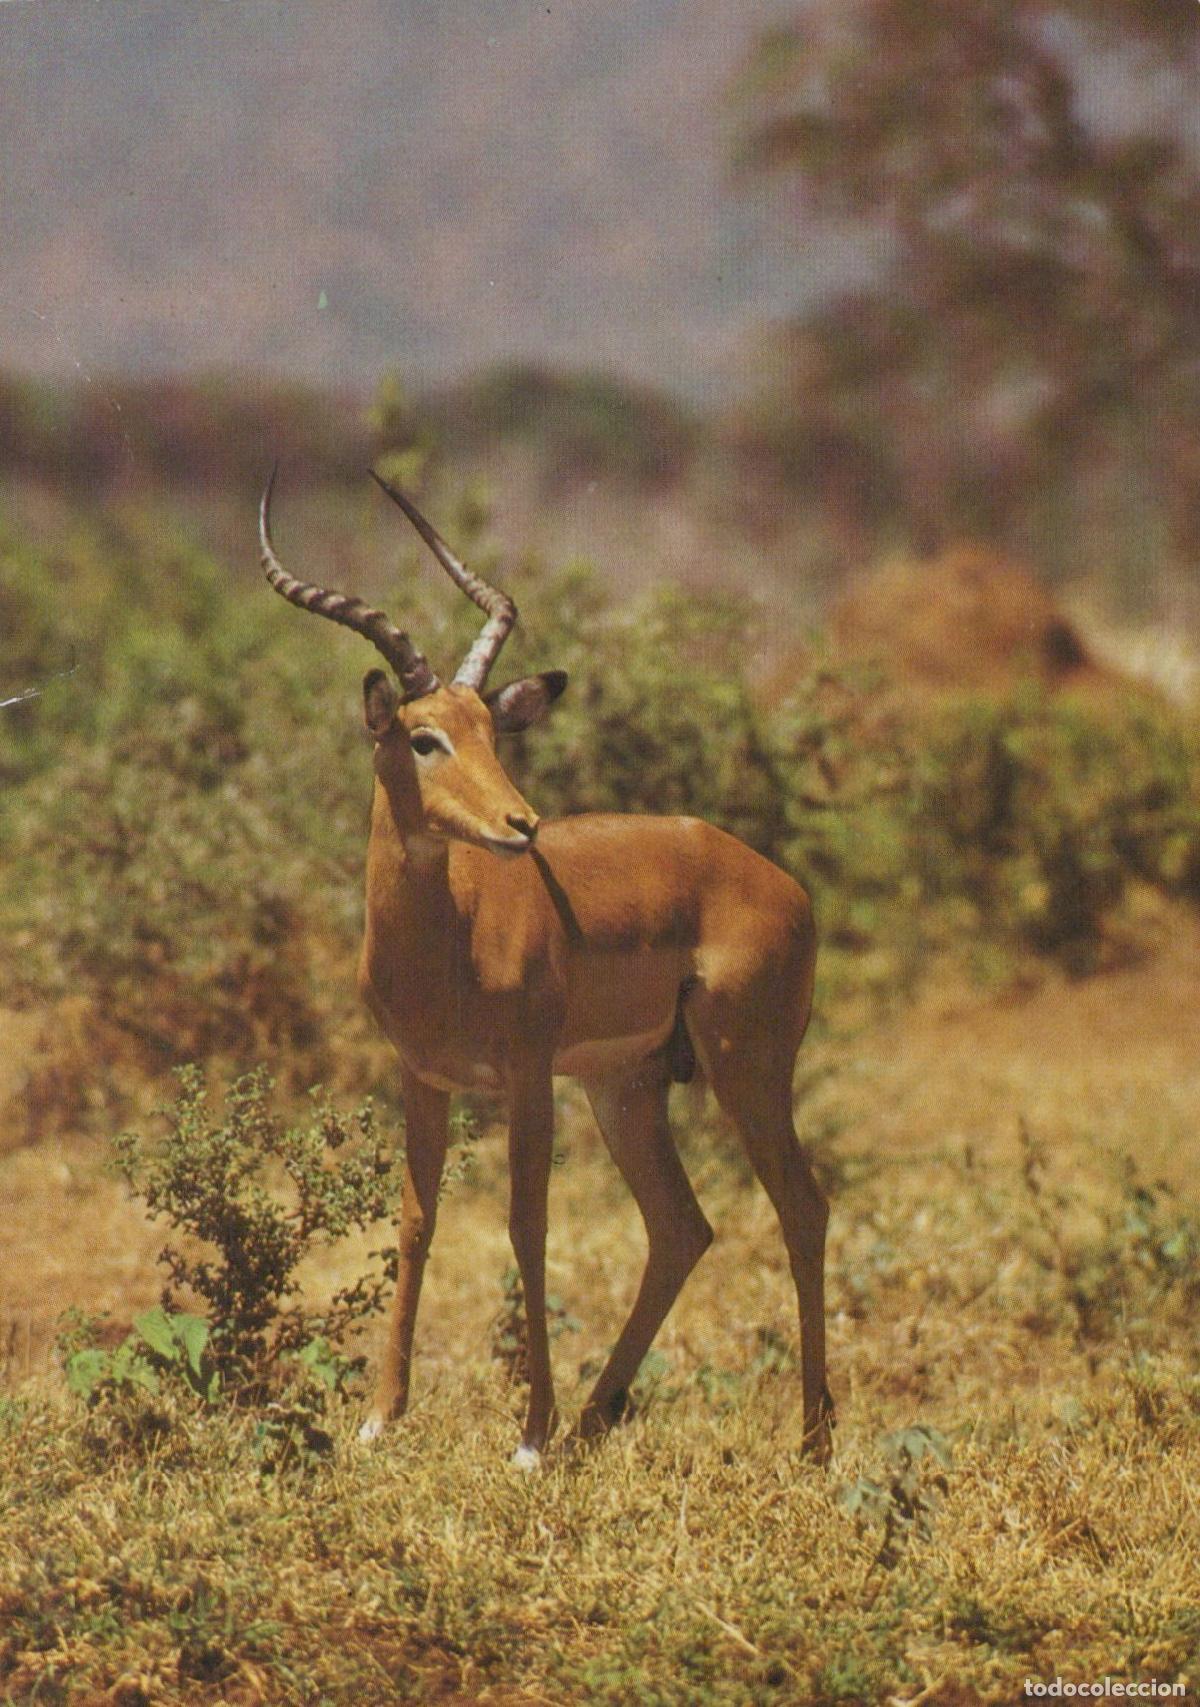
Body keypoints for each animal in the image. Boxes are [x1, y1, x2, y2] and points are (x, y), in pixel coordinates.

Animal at [260, 470, 833, 1465]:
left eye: (492, 731)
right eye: (424, 736)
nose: (521, 824)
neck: (448, 940)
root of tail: (783, 883)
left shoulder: (528, 1075)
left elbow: (526, 1225)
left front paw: (528, 1436)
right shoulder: (423, 1076)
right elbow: (416, 1222)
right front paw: (379, 1416)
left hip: (745, 1069)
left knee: (803, 1209)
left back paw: (810, 1441)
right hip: (627, 1085)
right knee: (683, 1226)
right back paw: (600, 1415)